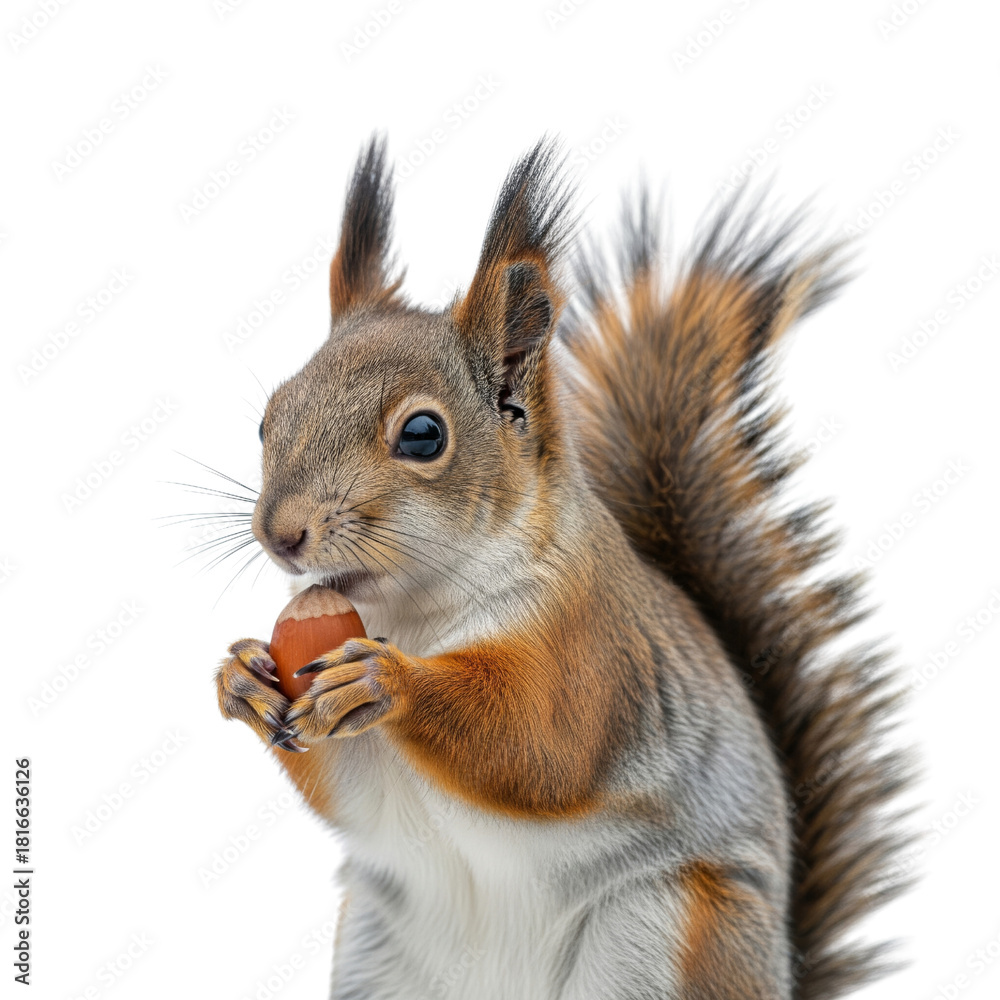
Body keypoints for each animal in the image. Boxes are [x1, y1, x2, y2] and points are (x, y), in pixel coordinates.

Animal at [215, 136, 910, 1000]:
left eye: (422, 435)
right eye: (269, 418)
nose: (281, 534)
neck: (413, 613)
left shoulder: (591, 646)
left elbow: (544, 745)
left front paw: (386, 683)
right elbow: (354, 793)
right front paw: (241, 675)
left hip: (669, 932)